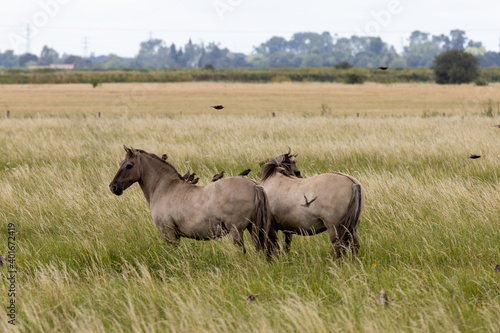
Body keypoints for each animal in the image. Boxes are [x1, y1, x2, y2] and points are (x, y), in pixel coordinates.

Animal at [109, 146, 270, 254]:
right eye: (120, 164)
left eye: (129, 165)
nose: (113, 187)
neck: (165, 187)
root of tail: (254, 185)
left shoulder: (169, 233)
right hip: (252, 228)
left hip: (236, 231)